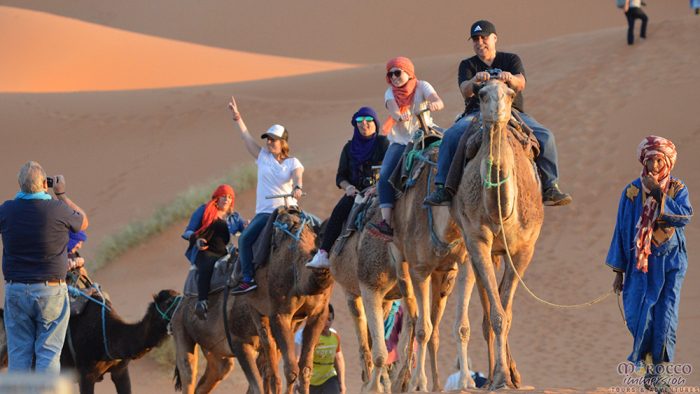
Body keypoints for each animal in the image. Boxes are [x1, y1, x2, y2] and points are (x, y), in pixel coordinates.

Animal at [452, 78, 544, 390]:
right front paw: (501, 378)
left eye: (510, 93)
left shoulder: (524, 249)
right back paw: (493, 375)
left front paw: (509, 377)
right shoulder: (477, 241)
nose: (498, 111)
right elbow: (497, 315)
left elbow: (507, 312)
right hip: (478, 251)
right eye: (481, 94)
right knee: (486, 313)